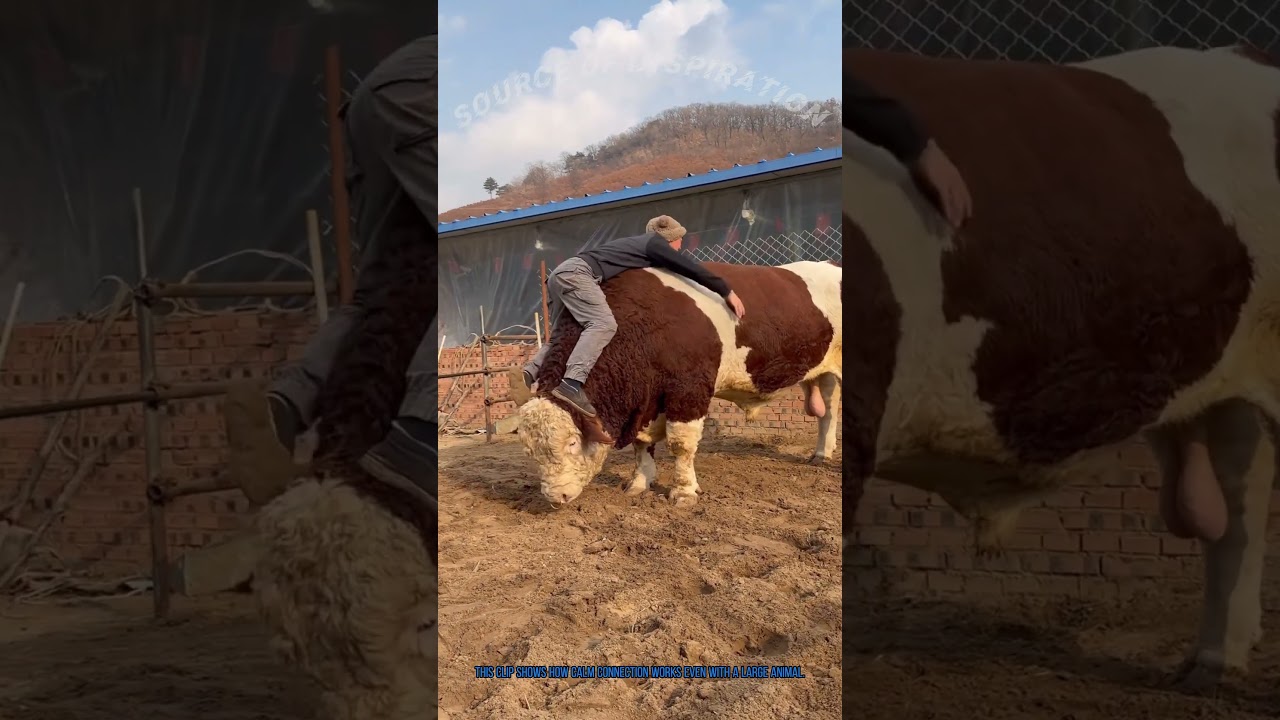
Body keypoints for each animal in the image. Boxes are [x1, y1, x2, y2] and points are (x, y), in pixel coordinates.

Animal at [517, 260, 842, 506]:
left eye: (572, 442)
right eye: (529, 452)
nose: (556, 497)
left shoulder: (689, 390)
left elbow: (681, 444)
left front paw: (683, 492)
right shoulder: (646, 399)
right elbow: (641, 443)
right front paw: (639, 483)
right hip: (823, 373)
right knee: (828, 411)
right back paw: (821, 454)